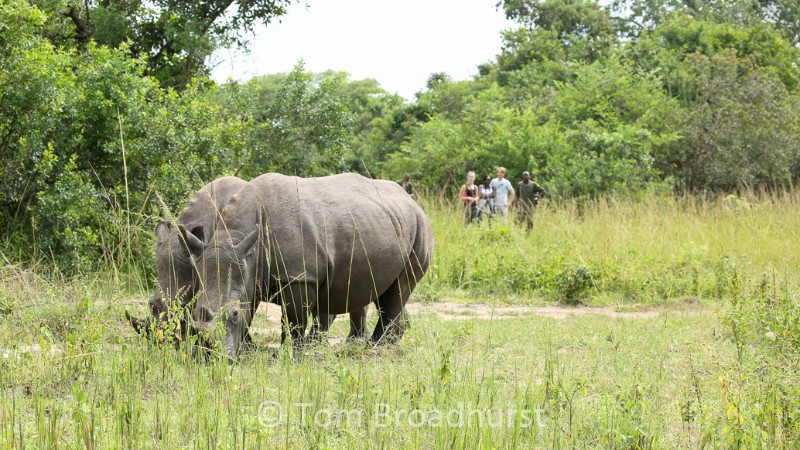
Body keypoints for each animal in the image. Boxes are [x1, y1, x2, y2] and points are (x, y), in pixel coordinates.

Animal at [182, 173, 433, 360]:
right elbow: (252, 313)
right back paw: (368, 346)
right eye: (195, 313)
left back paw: (378, 350)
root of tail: (412, 201)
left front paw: (287, 357)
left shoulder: (299, 277)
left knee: (398, 291)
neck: (239, 239)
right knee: (385, 293)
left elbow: (292, 322)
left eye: (233, 314)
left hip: (421, 227)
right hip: (384, 222)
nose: (212, 357)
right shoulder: (249, 275)